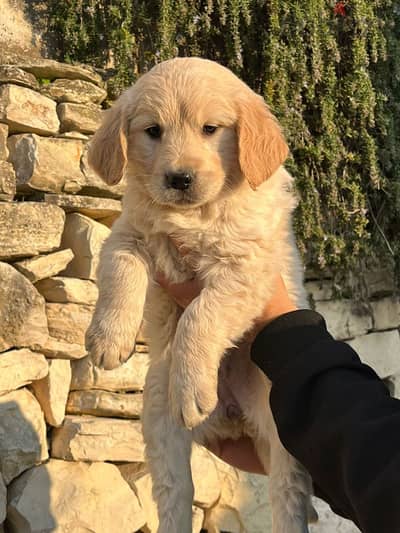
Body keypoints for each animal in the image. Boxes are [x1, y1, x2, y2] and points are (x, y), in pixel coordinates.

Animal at [87, 57, 316, 532]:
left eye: (210, 129)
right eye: (153, 131)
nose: (180, 178)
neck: (194, 216)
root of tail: (232, 422)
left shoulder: (244, 268)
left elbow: (200, 315)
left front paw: (192, 384)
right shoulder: (127, 234)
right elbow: (120, 274)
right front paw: (109, 338)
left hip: (281, 432)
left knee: (287, 495)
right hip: (159, 414)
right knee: (174, 494)